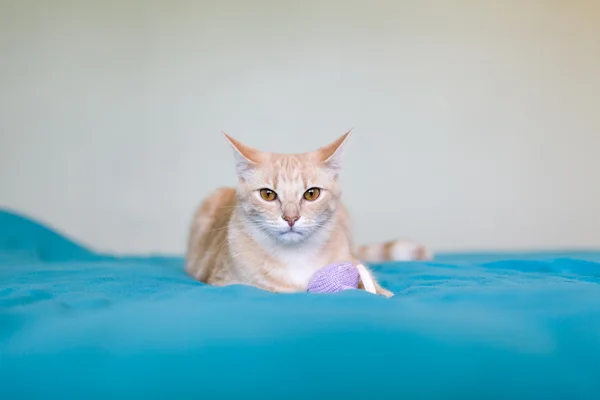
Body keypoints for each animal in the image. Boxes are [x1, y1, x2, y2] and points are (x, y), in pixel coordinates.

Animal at [185, 131, 428, 296]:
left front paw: (381, 293)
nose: (291, 218)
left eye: (311, 194)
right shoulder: (224, 281)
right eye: (267, 194)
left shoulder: (350, 260)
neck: (296, 256)